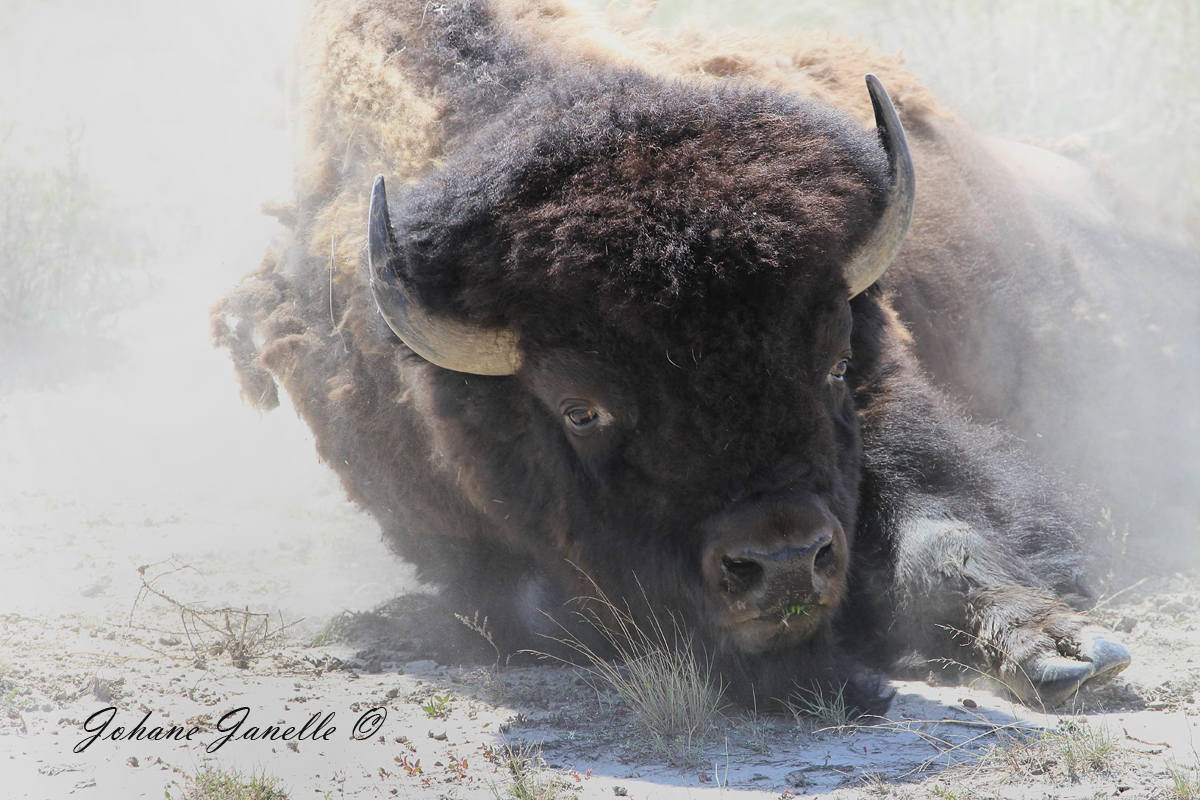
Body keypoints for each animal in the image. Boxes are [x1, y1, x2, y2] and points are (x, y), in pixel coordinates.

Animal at [216, 0, 1200, 714]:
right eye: (581, 408)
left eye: (833, 363)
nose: (786, 562)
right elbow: (562, 607)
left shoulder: (895, 417)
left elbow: (944, 536)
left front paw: (1067, 650)